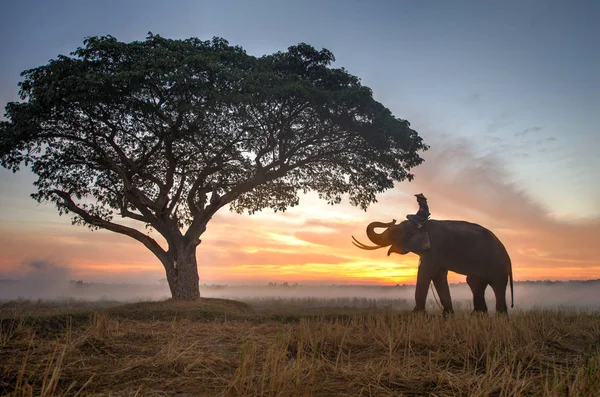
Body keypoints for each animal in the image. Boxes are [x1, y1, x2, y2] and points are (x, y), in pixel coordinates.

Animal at [352, 218, 516, 314]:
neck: (420, 226)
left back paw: (500, 318)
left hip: (497, 266)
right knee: (475, 283)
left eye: (394, 233)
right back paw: (478, 316)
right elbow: (439, 275)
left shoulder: (434, 250)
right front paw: (447, 316)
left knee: (497, 287)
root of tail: (508, 256)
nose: (392, 220)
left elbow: (426, 272)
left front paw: (417, 315)